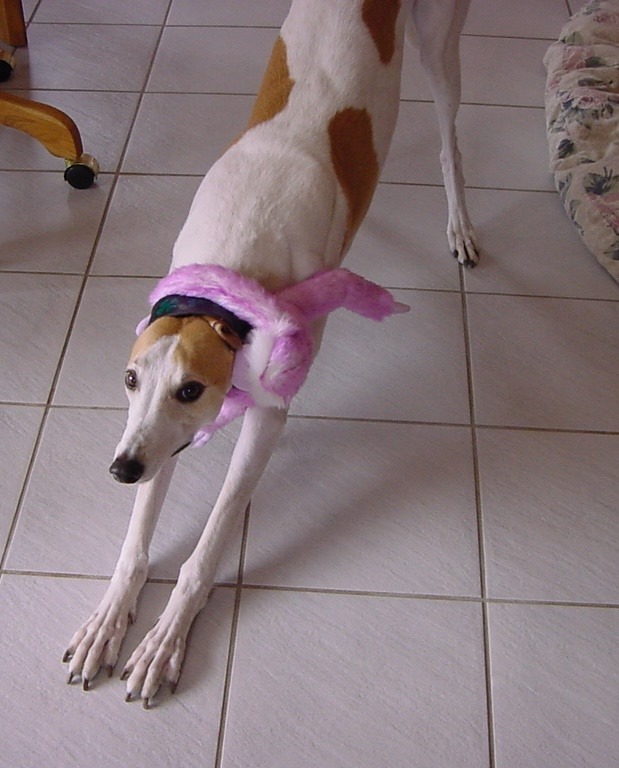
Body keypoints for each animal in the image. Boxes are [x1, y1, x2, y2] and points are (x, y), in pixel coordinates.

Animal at [63, 0, 477, 707]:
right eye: (128, 379)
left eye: (192, 388)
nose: (119, 471)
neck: (233, 266)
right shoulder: (155, 436)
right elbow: (138, 538)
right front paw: (109, 620)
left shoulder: (264, 416)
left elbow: (211, 540)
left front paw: (165, 639)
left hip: (441, 48)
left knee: (450, 139)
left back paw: (460, 224)